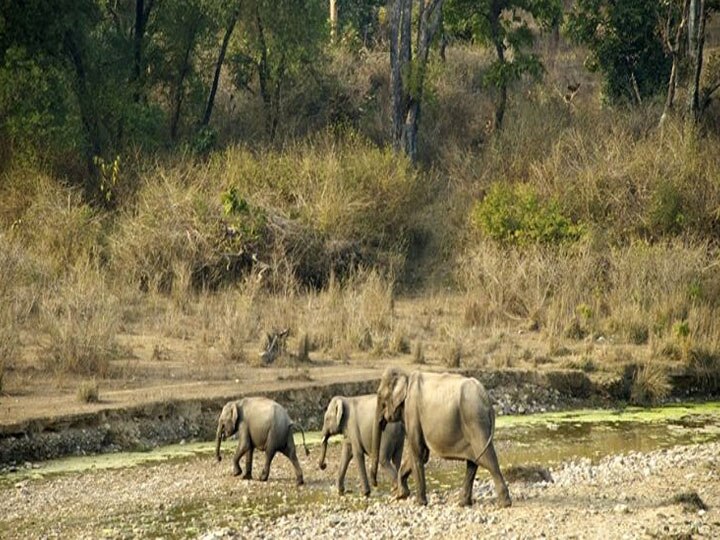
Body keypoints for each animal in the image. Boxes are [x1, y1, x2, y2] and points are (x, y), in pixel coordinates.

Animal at [372, 368, 512, 506]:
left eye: (379, 396)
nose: (375, 484)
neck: (406, 374)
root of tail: (486, 396)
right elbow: (421, 454)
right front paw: (402, 494)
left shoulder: (411, 411)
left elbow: (417, 452)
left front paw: (419, 503)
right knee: (473, 461)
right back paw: (463, 503)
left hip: (475, 421)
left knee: (487, 459)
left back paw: (504, 503)